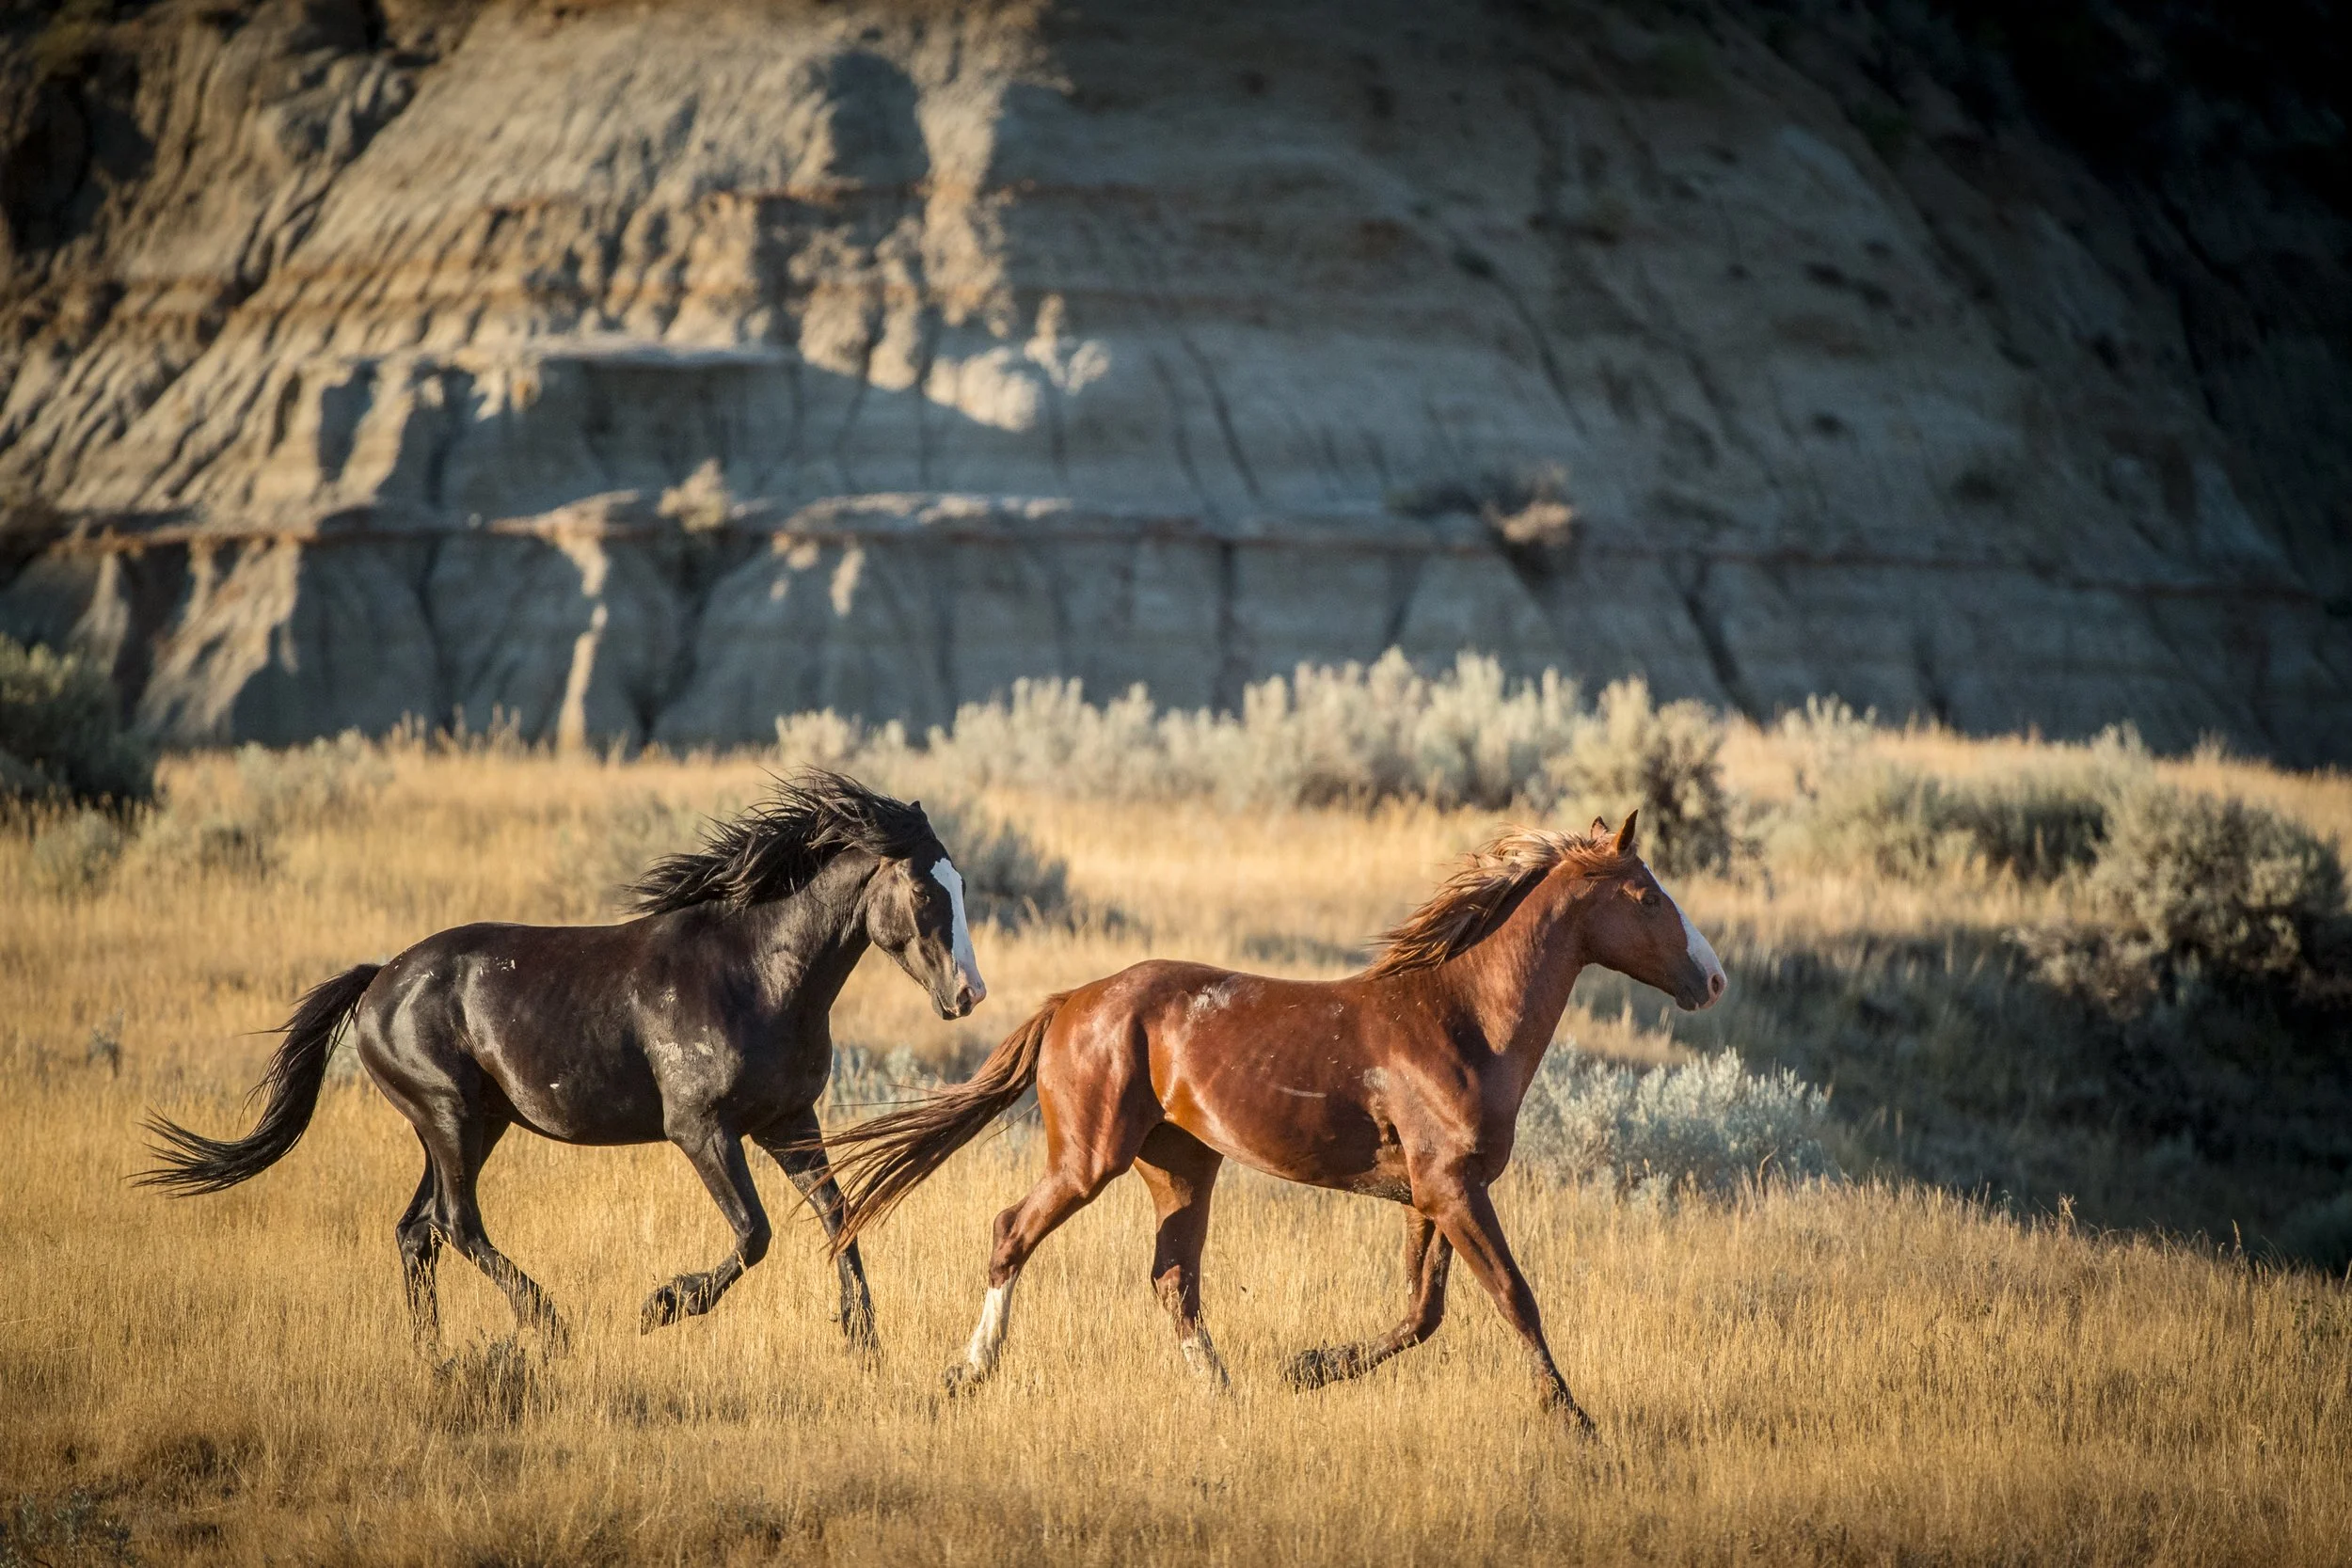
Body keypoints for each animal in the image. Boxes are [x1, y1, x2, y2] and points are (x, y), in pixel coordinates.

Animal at [140, 771, 988, 1356]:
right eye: (924, 889)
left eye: (960, 883)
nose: (969, 993)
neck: (756, 973)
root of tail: (380, 978)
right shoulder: (703, 1130)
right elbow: (755, 1233)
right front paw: (661, 1305)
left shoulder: (788, 1121)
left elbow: (839, 1215)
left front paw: (864, 1341)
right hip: (449, 1116)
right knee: (455, 1223)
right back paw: (549, 1324)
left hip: (473, 1124)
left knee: (417, 1231)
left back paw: (432, 1354)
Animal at [815, 811, 1723, 1428]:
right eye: (1646, 895)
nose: (1711, 978)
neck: (1459, 1018)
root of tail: (1070, 1001)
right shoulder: (1453, 1190)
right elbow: (1513, 1296)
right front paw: (1575, 1420)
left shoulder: (1435, 1196)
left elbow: (1422, 1312)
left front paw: (1309, 1365)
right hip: (1088, 1158)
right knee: (1013, 1231)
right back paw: (969, 1370)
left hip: (1181, 1166)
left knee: (1173, 1281)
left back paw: (1228, 1395)